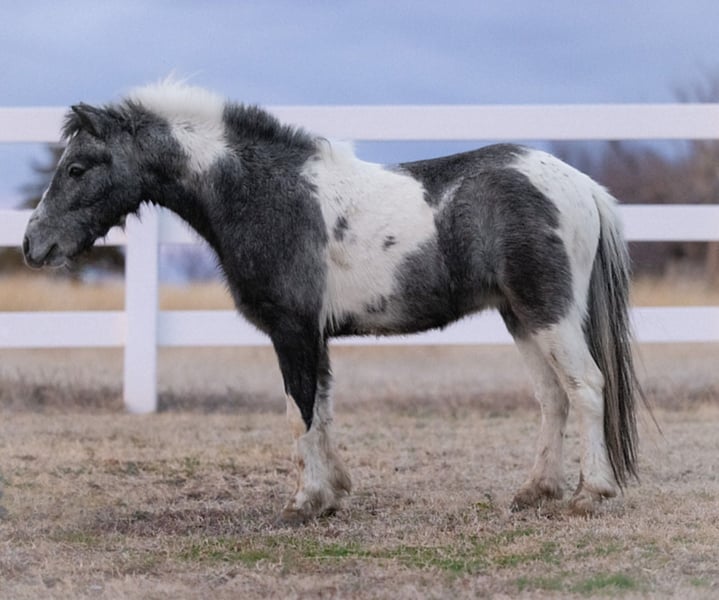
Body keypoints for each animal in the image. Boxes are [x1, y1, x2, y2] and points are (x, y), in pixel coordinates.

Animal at [23, 80, 644, 523]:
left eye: (77, 167)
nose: (33, 244)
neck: (267, 193)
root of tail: (580, 185)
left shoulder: (292, 331)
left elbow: (299, 410)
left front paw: (306, 502)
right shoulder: (313, 335)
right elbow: (320, 408)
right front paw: (334, 492)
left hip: (550, 315)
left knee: (586, 387)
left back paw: (591, 493)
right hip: (522, 317)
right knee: (552, 399)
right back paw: (536, 491)